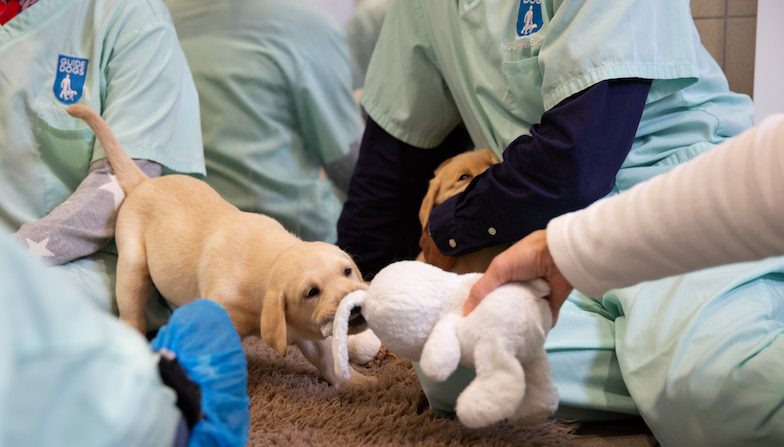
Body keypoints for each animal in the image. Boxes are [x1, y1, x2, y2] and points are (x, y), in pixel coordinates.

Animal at [67, 104, 374, 384]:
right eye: (311, 292)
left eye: (347, 271)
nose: (355, 305)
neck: (270, 262)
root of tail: (143, 183)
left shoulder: (302, 328)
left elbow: (327, 358)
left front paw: (360, 385)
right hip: (133, 264)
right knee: (132, 310)